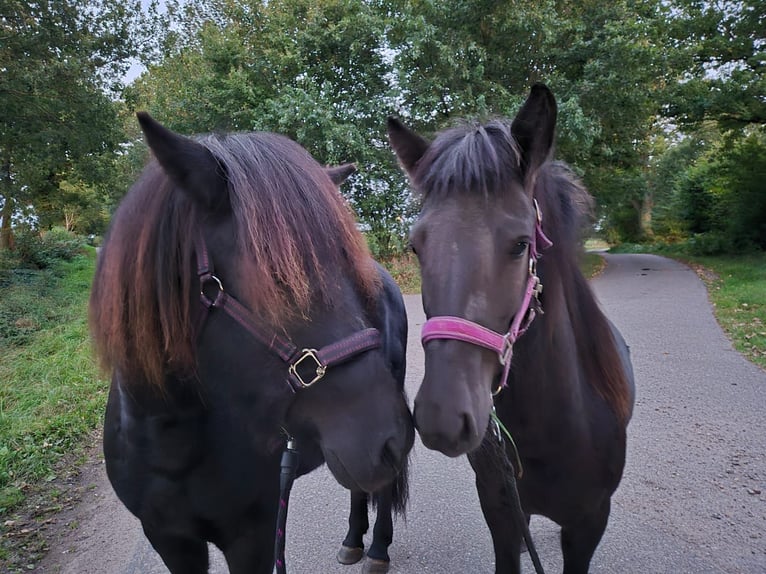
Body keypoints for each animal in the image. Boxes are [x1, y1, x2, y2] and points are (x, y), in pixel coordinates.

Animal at [89, 113, 415, 574]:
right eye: (275, 276)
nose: (390, 440)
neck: (172, 444)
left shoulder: (253, 536)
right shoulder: (170, 540)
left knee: (380, 489)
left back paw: (377, 549)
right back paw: (353, 539)